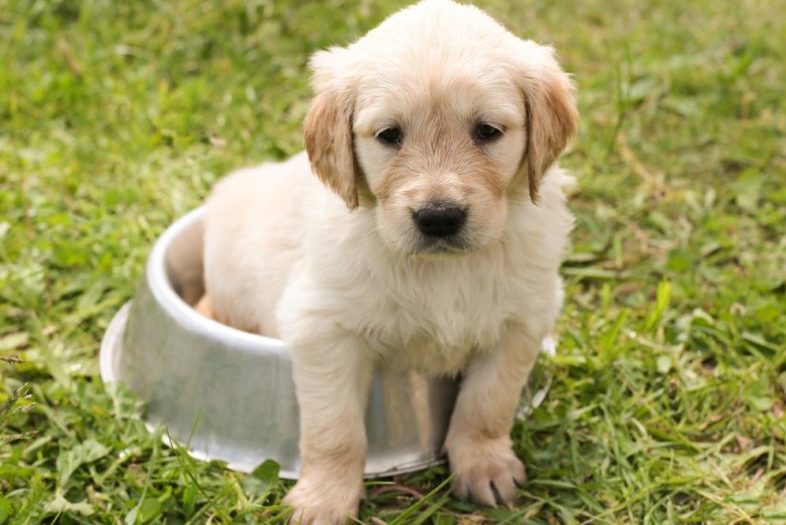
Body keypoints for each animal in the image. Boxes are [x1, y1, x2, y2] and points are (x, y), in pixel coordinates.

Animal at [202, 0, 576, 520]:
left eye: (487, 131)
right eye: (389, 135)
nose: (439, 218)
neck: (443, 269)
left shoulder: (522, 320)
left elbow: (487, 403)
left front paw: (484, 466)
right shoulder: (323, 327)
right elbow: (335, 429)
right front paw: (324, 499)